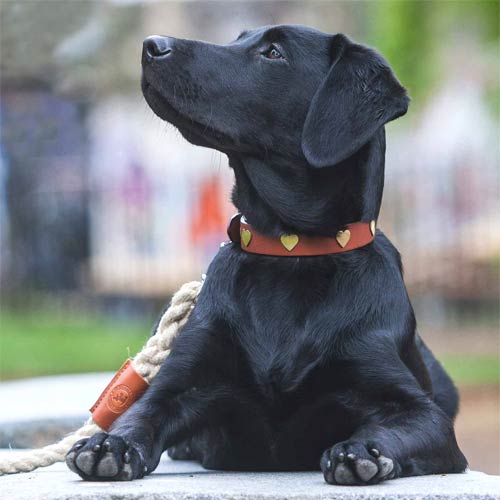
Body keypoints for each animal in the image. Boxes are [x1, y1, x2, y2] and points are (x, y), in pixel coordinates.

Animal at [64, 24, 466, 484]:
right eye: (239, 38)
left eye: (273, 52)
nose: (151, 45)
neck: (289, 255)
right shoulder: (179, 385)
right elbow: (136, 416)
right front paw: (108, 445)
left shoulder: (423, 414)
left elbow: (394, 427)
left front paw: (362, 450)